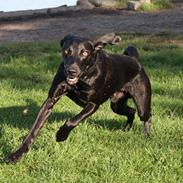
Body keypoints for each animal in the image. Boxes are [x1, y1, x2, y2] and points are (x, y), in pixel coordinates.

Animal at [8, 33, 152, 163]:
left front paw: (61, 135)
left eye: (85, 53)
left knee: (146, 115)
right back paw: (126, 128)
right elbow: (34, 129)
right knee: (131, 111)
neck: (82, 78)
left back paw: (146, 135)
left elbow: (73, 121)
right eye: (66, 51)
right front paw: (16, 155)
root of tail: (135, 61)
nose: (71, 71)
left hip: (142, 103)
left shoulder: (93, 104)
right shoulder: (50, 101)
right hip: (117, 104)